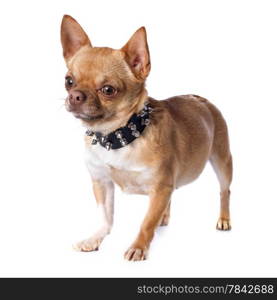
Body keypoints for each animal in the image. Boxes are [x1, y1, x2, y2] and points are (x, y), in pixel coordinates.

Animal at [59, 15, 231, 262]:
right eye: (69, 81)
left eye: (108, 89)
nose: (74, 96)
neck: (118, 136)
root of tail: (200, 98)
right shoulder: (102, 182)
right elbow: (105, 218)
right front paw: (94, 239)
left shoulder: (159, 187)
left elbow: (146, 222)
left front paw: (139, 247)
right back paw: (164, 217)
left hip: (222, 161)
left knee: (224, 191)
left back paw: (224, 219)